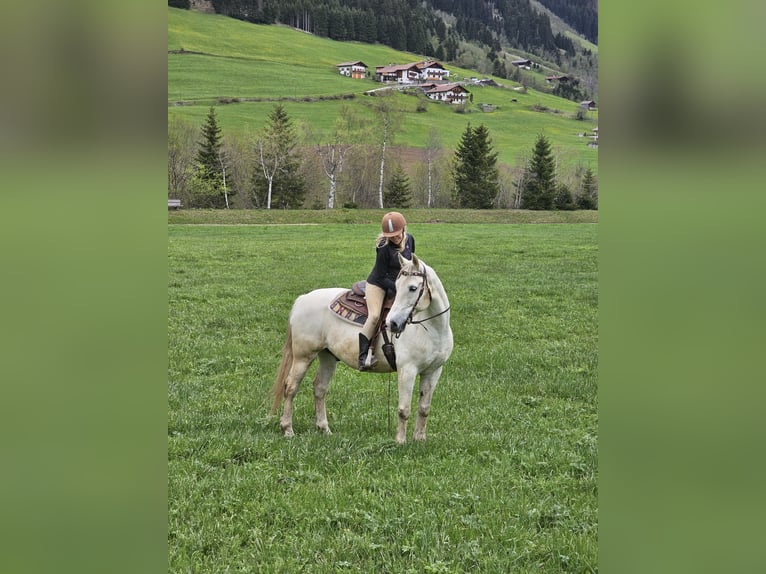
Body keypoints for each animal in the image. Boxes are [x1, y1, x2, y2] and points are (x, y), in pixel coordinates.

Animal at [270, 255, 452, 446]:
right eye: (397, 286)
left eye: (413, 288)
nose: (393, 323)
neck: (432, 329)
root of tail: (302, 299)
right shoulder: (407, 370)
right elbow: (404, 409)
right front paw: (400, 442)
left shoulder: (433, 371)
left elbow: (424, 408)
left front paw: (420, 440)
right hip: (303, 357)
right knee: (291, 387)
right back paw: (287, 429)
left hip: (327, 356)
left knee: (320, 388)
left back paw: (324, 429)